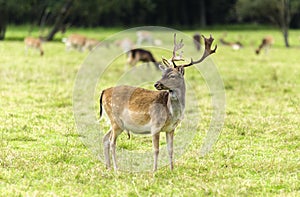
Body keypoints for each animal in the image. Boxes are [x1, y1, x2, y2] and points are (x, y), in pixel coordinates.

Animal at [99, 33, 217, 171]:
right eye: (163, 74)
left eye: (172, 75)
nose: (157, 84)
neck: (171, 113)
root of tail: (104, 91)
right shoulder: (155, 125)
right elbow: (156, 149)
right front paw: (154, 171)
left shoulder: (171, 129)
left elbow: (171, 149)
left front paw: (172, 169)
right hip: (115, 120)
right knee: (112, 141)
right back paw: (116, 168)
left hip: (116, 123)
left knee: (105, 138)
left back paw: (108, 167)